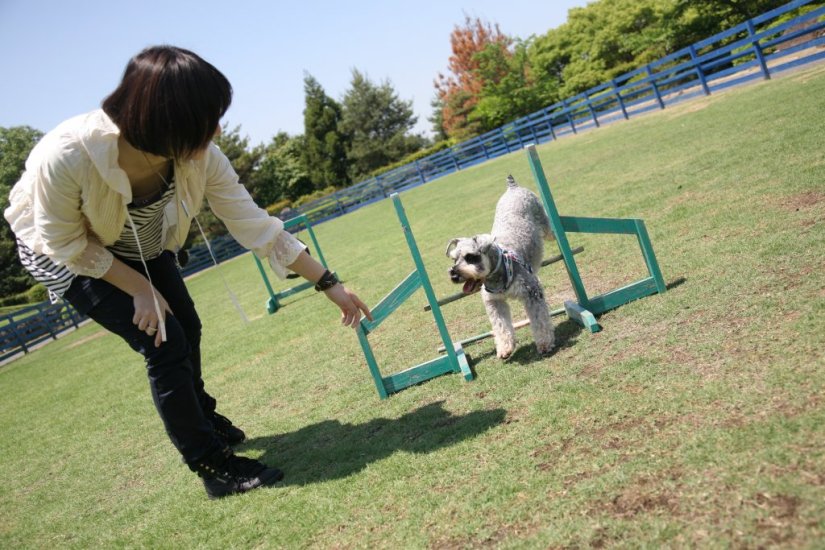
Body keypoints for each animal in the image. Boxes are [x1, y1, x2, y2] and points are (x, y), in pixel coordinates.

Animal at [444, 175, 552, 360]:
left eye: (470, 257)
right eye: (454, 259)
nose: (454, 275)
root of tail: (513, 187)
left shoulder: (532, 292)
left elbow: (540, 320)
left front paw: (545, 344)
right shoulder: (494, 303)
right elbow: (501, 327)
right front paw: (505, 348)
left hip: (543, 223)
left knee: (550, 230)